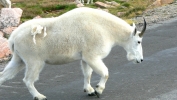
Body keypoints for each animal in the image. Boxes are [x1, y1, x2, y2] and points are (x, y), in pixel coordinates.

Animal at [0, 7, 147, 100]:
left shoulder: (85, 57)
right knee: (28, 80)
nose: (140, 60)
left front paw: (89, 90)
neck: (106, 29)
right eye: (138, 41)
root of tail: (13, 38)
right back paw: (39, 96)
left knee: (4, 75)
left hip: (18, 59)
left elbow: (87, 74)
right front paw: (98, 90)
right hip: (34, 61)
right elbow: (105, 72)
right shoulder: (92, 56)